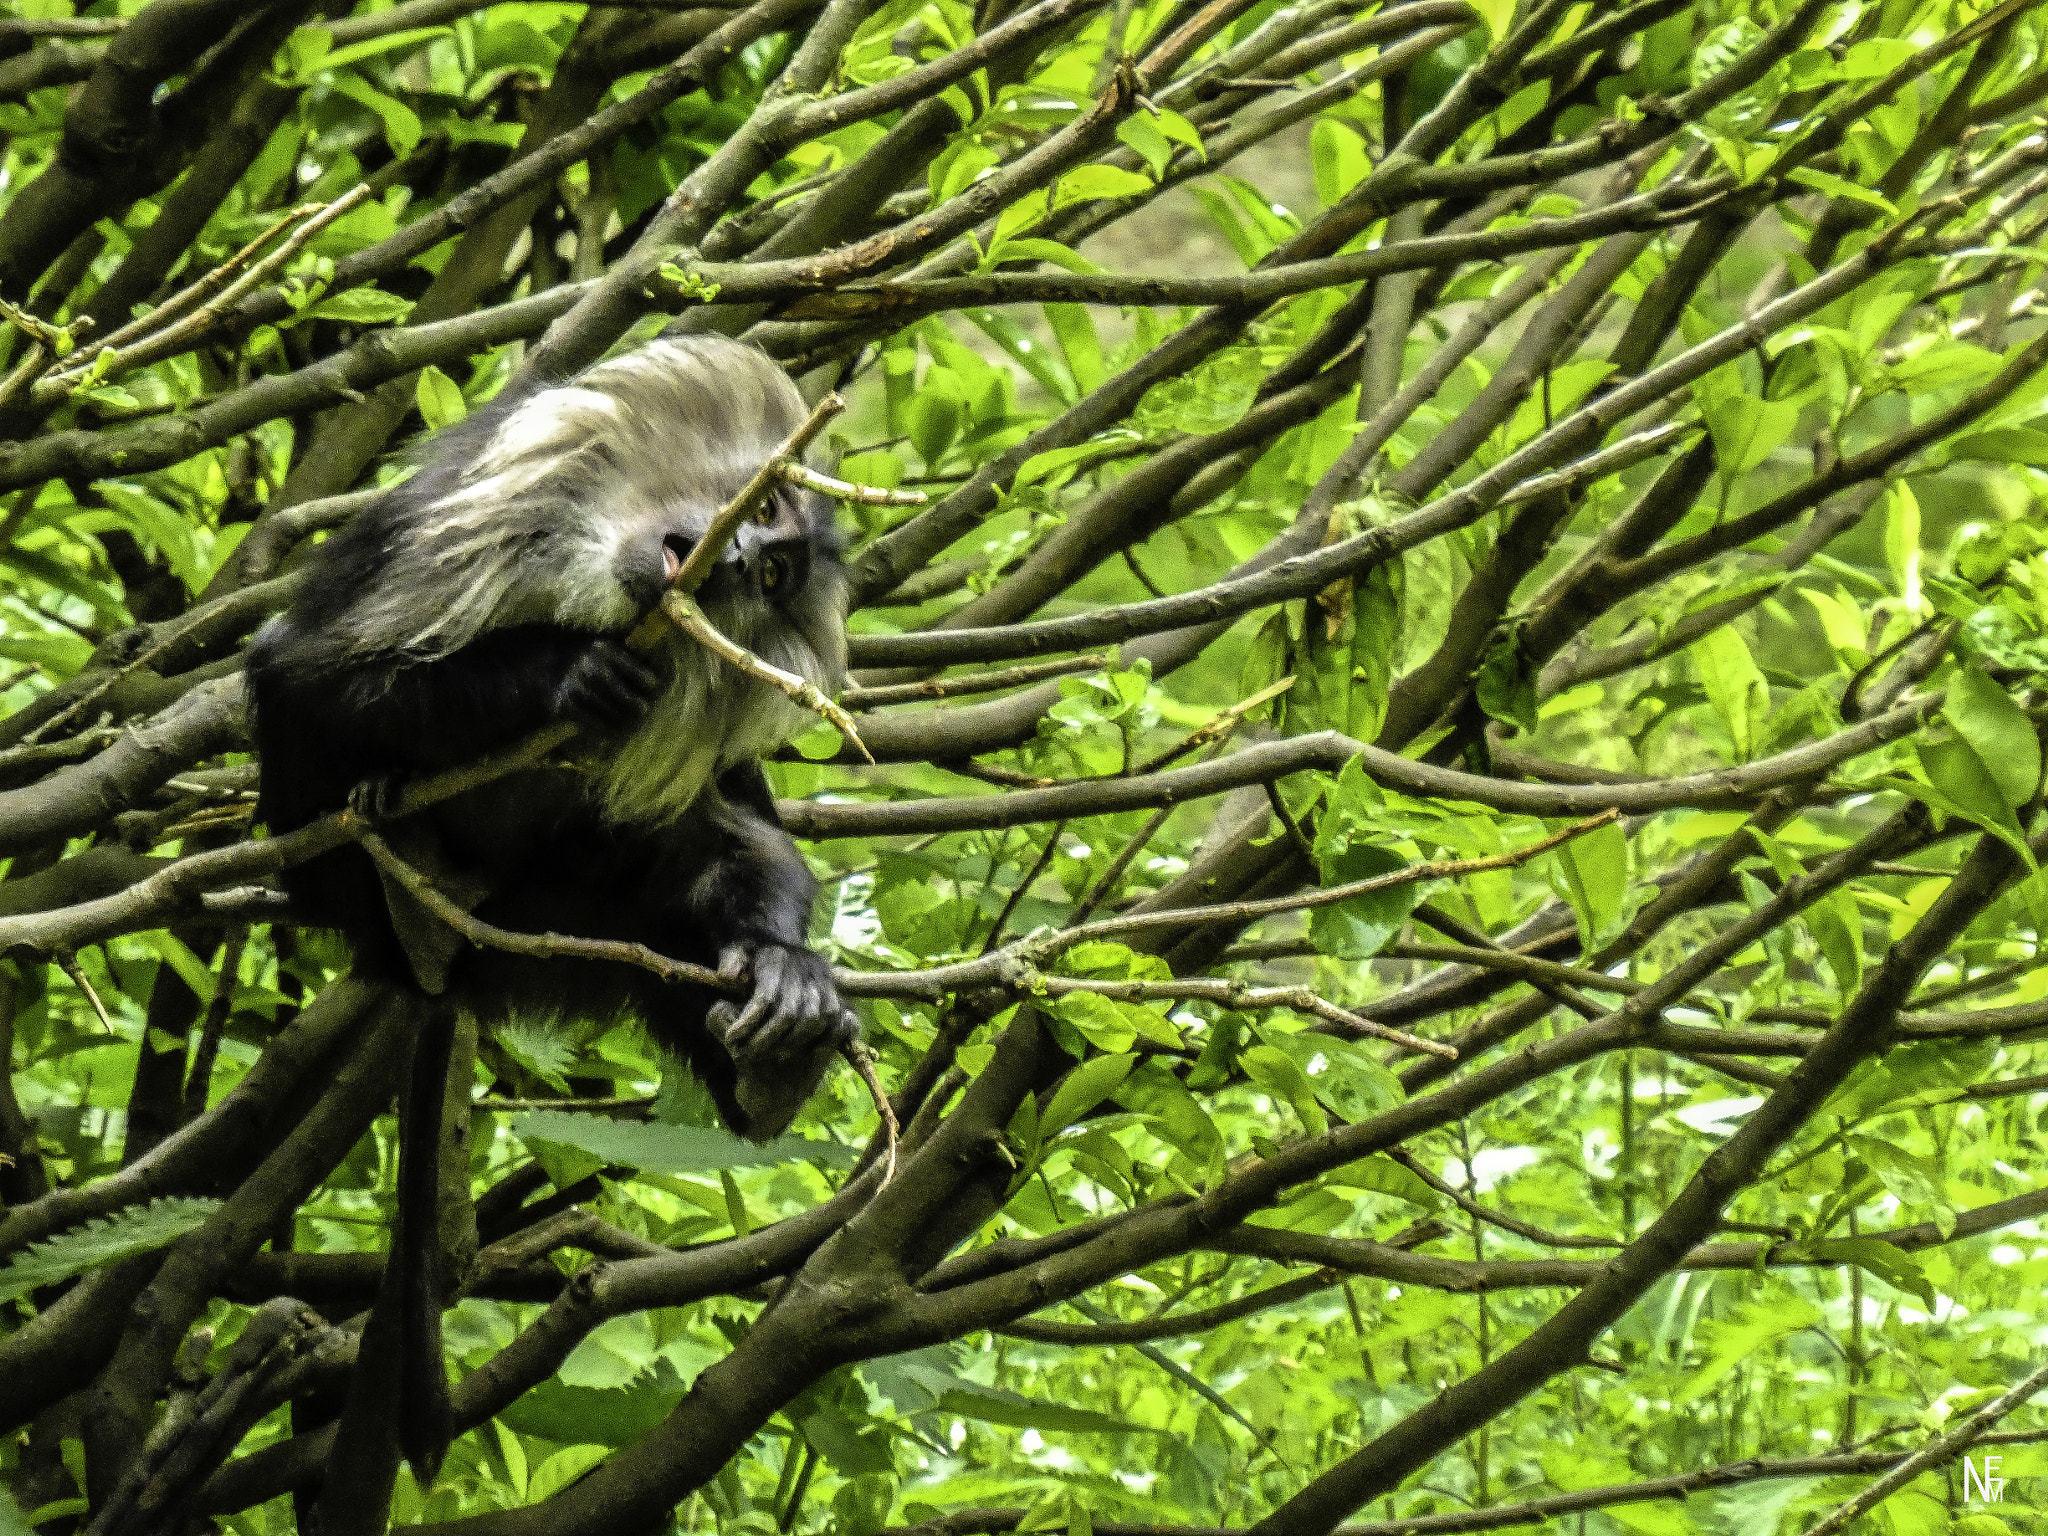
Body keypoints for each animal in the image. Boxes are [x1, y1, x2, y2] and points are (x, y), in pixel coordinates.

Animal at [245, 334, 858, 1485]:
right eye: (760, 514)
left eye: (777, 576)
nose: (738, 565)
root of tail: (443, 973)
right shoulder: (459, 525)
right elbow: (313, 671)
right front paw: (565, 677)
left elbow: (734, 823)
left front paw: (783, 968)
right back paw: (397, 849)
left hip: (574, 915)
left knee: (692, 857)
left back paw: (777, 1045)